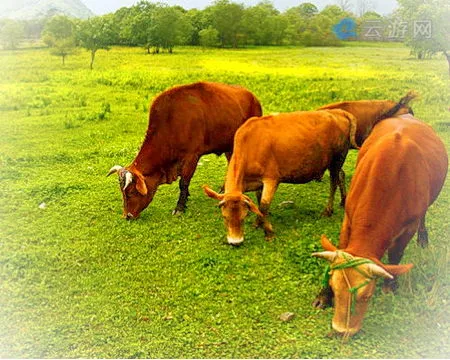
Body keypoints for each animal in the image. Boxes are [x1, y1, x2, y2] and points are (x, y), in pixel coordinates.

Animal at [107, 80, 262, 218]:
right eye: (122, 193)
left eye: (131, 192)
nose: (127, 216)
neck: (170, 122)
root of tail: (253, 97)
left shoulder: (192, 156)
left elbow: (183, 183)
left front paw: (180, 207)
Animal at [204, 108, 358, 246]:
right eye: (224, 217)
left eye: (243, 216)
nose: (235, 242)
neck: (250, 145)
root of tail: (338, 111)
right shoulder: (257, 182)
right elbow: (258, 201)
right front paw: (258, 222)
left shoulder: (272, 179)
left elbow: (264, 205)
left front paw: (268, 232)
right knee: (340, 176)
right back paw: (343, 201)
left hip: (337, 158)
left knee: (333, 183)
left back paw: (328, 210)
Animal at [312, 114, 446, 338]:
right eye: (334, 287)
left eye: (367, 296)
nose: (341, 330)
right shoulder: (348, 217)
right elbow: (340, 250)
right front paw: (323, 296)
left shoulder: (407, 228)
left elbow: (395, 255)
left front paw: (390, 287)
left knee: (423, 218)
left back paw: (423, 238)